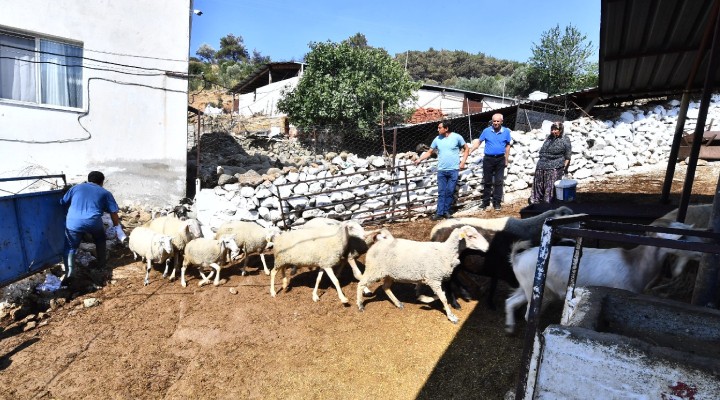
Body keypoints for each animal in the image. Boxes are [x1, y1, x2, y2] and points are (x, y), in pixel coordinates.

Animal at [356, 225, 490, 324]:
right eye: (471, 236)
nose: (488, 247)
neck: (446, 252)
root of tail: (375, 245)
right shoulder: (433, 279)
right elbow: (443, 298)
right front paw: (452, 316)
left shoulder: (435, 279)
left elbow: (441, 295)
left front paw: (423, 298)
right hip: (374, 270)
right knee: (361, 284)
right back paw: (360, 305)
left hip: (389, 274)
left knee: (386, 287)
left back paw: (398, 303)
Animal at [424, 206, 576, 310]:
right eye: (566, 223)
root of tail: (434, 231)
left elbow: (494, 284)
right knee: (450, 280)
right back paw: (457, 302)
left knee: (457, 275)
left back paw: (467, 292)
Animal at [504, 220, 696, 332]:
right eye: (679, 235)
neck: (633, 263)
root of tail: (517, 258)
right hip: (535, 290)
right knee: (527, 313)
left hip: (526, 286)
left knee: (511, 301)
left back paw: (510, 328)